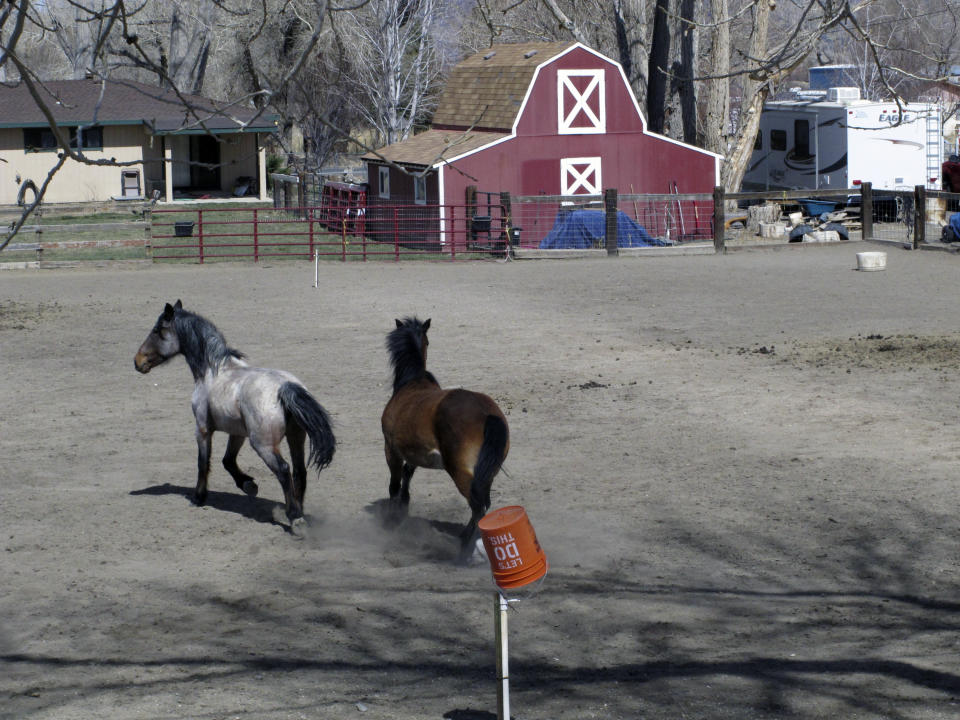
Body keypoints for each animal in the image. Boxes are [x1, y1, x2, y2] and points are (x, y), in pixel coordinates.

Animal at [135, 300, 336, 536]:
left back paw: (296, 518)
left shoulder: (202, 429)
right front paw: (248, 485)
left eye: (157, 331)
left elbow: (203, 462)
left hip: (264, 445)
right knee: (299, 472)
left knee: (284, 470)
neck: (213, 371)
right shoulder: (237, 433)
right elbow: (227, 461)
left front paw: (198, 497)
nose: (137, 361)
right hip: (296, 438)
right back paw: (296, 510)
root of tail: (286, 387)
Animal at [380, 316, 510, 564]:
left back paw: (463, 549)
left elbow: (394, 485)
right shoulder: (414, 453)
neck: (412, 382)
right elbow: (407, 477)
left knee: (478, 507)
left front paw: (391, 521)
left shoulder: (391, 450)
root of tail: (487, 413)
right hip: (487, 473)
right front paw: (403, 507)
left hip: (460, 472)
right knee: (484, 506)